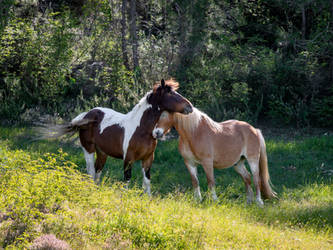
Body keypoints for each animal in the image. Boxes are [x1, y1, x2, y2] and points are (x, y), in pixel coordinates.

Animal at [41, 80, 192, 195]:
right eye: (171, 93)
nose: (189, 107)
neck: (142, 130)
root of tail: (87, 115)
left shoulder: (148, 158)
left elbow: (147, 180)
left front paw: (148, 199)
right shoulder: (128, 159)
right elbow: (127, 179)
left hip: (102, 153)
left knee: (97, 171)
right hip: (88, 149)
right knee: (90, 171)